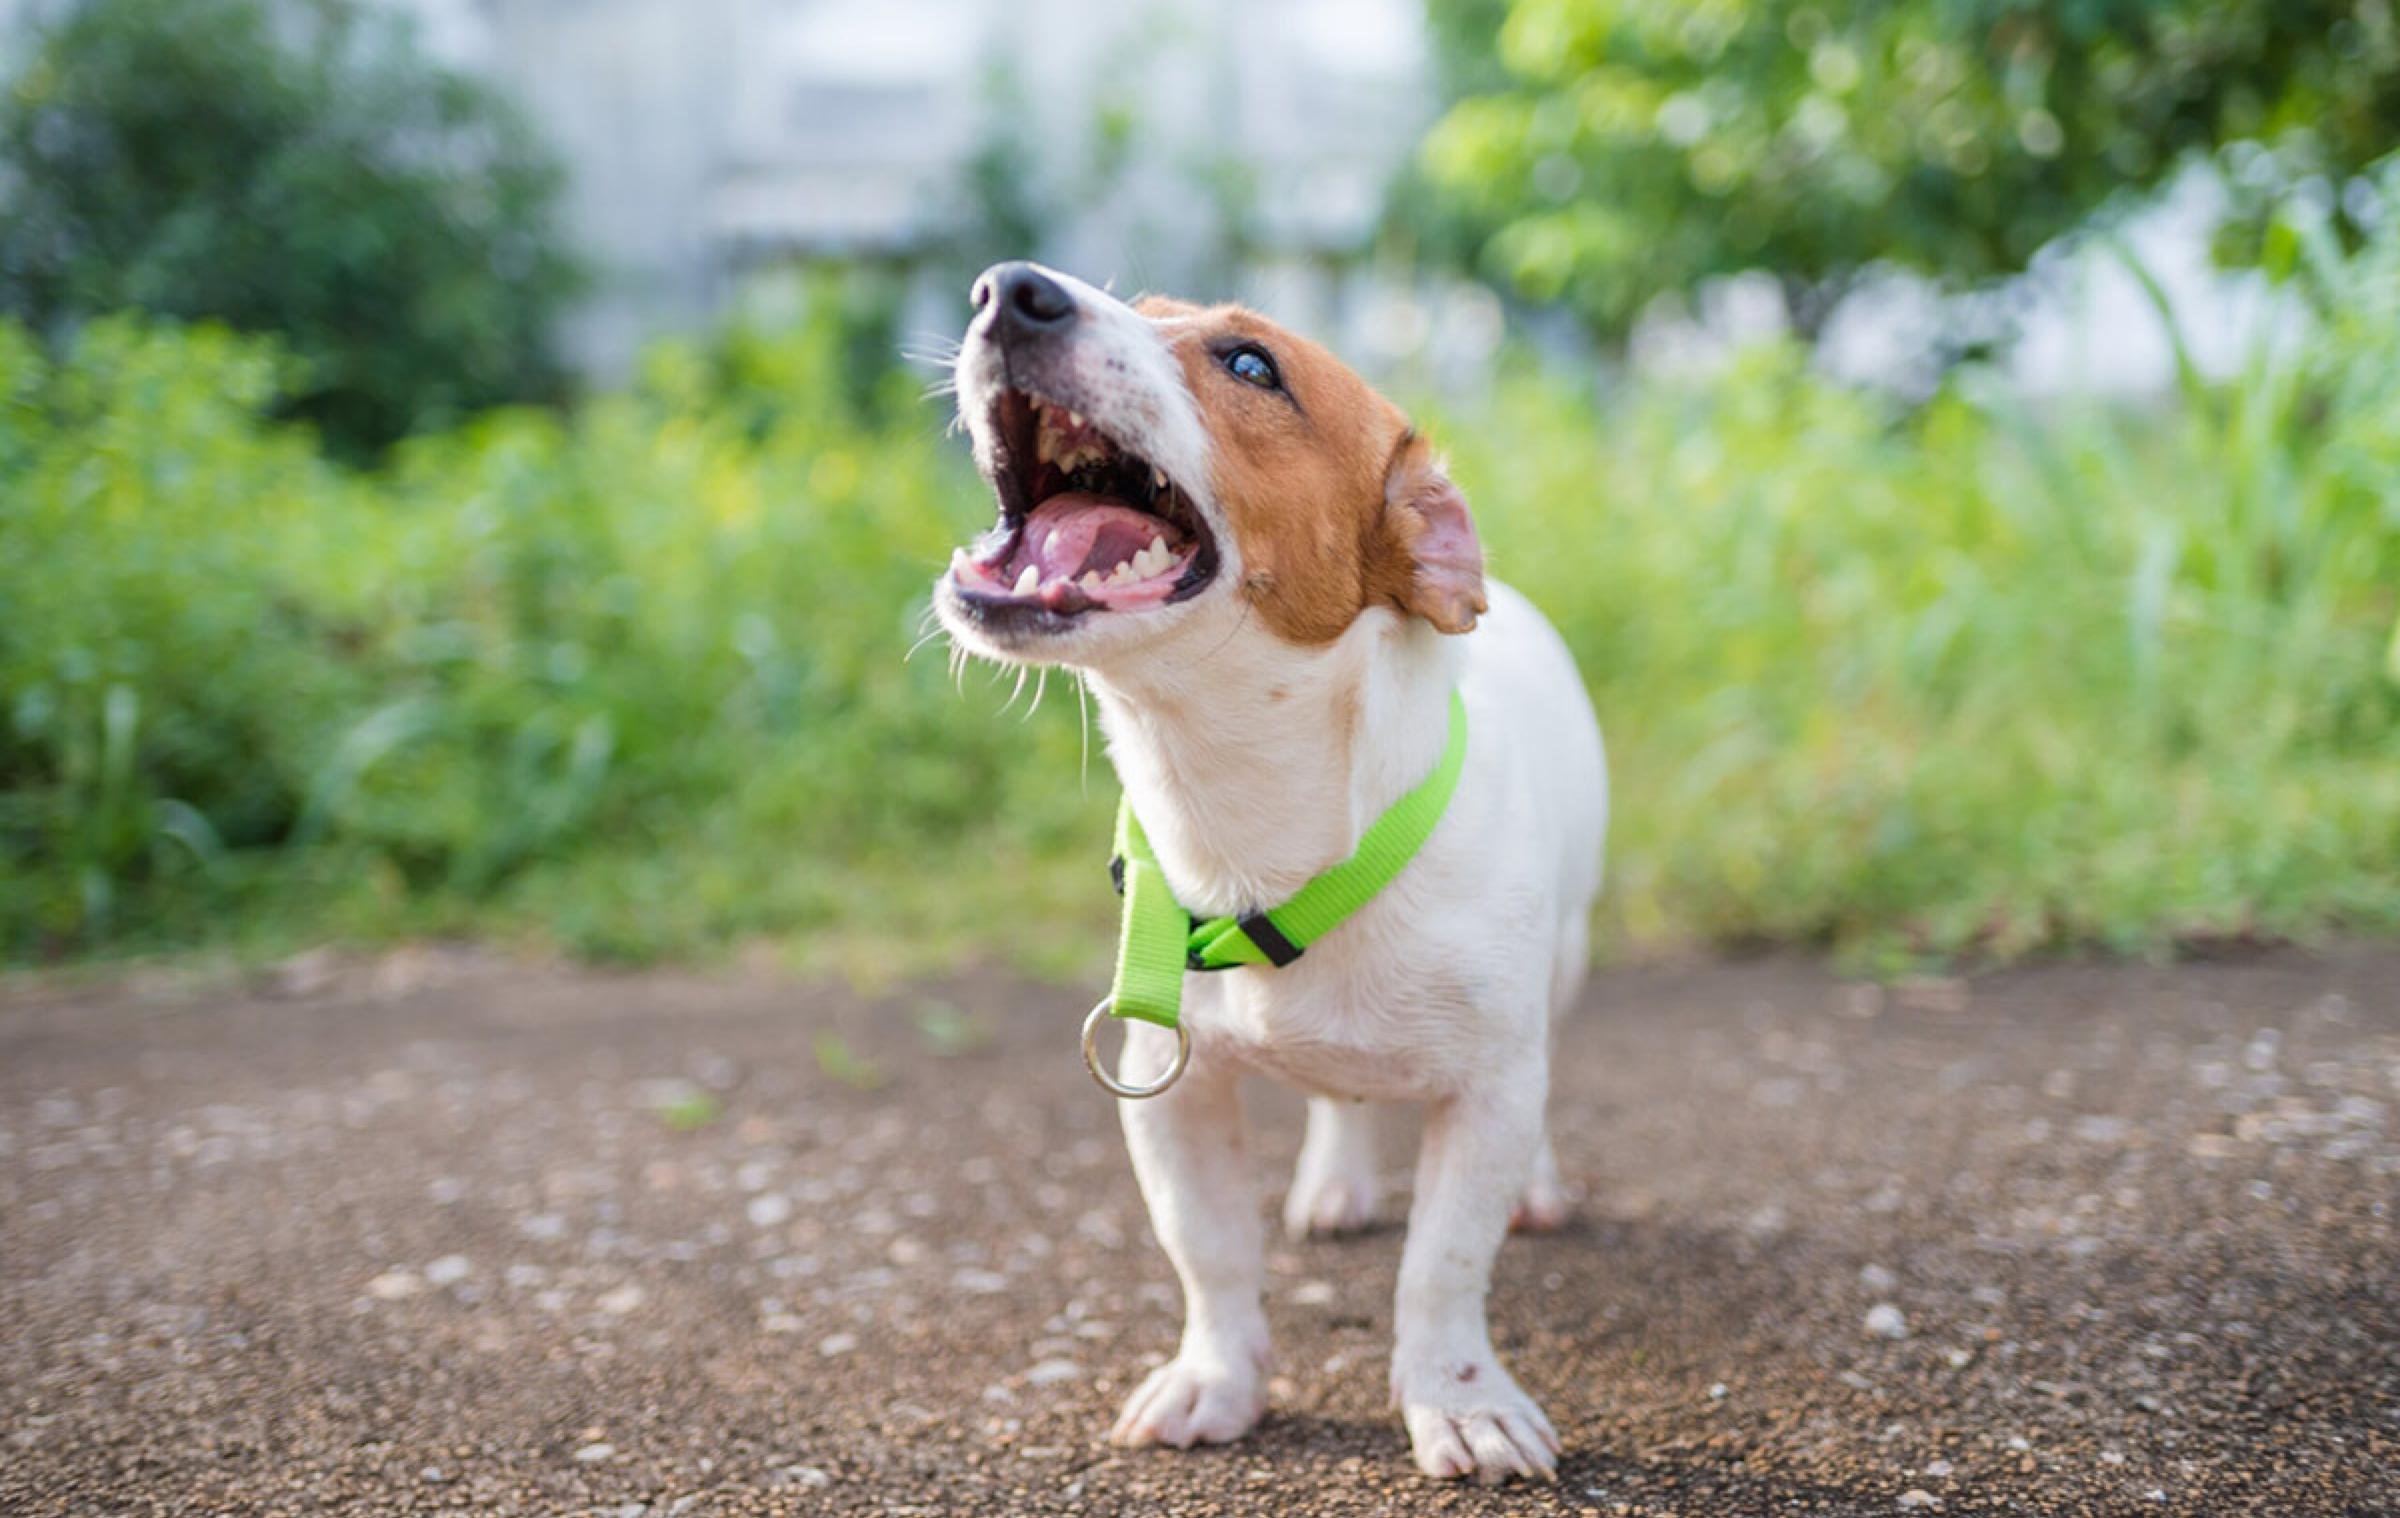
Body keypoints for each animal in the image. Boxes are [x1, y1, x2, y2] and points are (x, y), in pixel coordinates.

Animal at [936, 260, 1612, 1479]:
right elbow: (1208, 1252)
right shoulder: (1170, 1088)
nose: (1007, 289)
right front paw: (1217, 1380)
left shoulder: (1489, 1090)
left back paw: (1536, 1188)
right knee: (1339, 1102)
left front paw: (1459, 1400)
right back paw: (1337, 1181)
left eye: (1251, 364)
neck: (1260, 836)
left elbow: (1444, 1266)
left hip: (1566, 965)